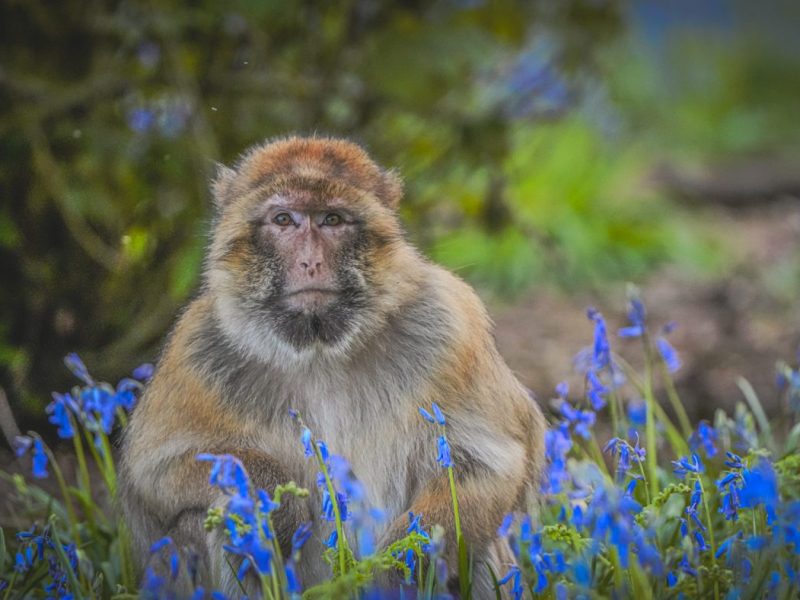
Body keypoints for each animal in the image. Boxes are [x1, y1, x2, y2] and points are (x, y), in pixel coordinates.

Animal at [119, 136, 544, 596]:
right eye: (283, 220)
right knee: (208, 519)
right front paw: (276, 499)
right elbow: (154, 475)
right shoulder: (197, 349)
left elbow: (492, 462)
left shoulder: (450, 328)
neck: (320, 351)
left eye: (332, 219)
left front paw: (409, 557)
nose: (310, 262)